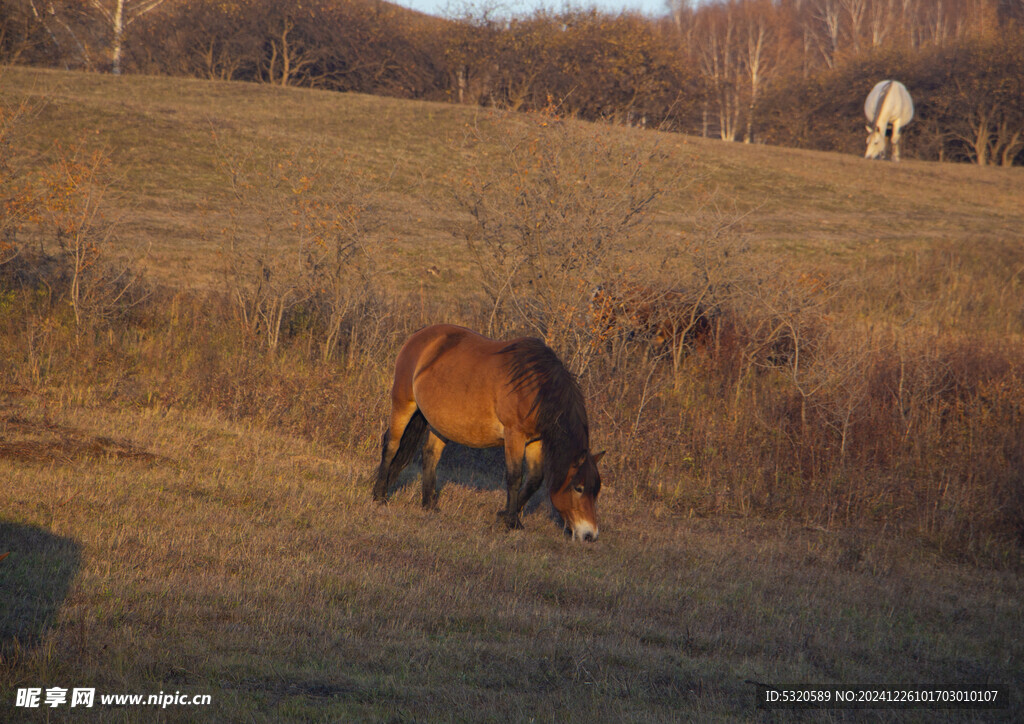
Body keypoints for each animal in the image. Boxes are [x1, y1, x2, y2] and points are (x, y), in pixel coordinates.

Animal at [372, 325, 602, 540]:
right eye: (578, 488)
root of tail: (419, 336)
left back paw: (429, 504)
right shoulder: (514, 436)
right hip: (403, 404)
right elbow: (515, 477)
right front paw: (511, 521)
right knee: (391, 446)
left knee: (430, 455)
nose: (589, 535)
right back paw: (379, 496)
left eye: (596, 490)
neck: (537, 388)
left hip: (439, 422)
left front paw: (505, 515)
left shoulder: (535, 441)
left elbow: (535, 479)